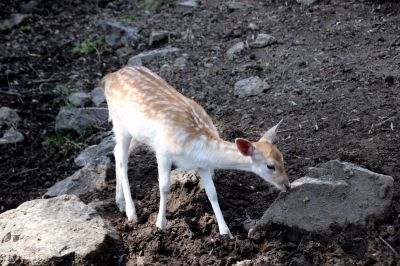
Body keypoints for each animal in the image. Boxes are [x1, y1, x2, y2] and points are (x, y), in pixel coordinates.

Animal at [102, 65, 290, 238]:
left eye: (282, 158)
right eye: (270, 166)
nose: (287, 185)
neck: (196, 147)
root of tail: (110, 76)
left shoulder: (203, 165)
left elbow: (212, 193)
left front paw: (226, 233)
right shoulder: (163, 152)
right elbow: (164, 186)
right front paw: (160, 224)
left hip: (135, 134)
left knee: (116, 151)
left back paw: (119, 202)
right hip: (120, 124)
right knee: (122, 159)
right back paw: (131, 213)